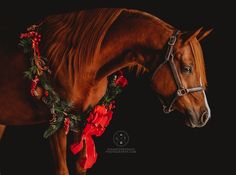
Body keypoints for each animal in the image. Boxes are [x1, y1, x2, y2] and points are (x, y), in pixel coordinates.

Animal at [0, 8, 211, 175]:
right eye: (187, 68)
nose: (204, 114)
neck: (77, 59)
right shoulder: (58, 123)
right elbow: (62, 170)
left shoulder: (82, 121)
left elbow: (81, 166)